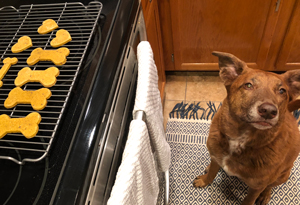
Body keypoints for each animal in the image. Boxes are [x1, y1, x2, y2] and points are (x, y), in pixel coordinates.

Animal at [192, 50, 300, 204]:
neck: (240, 138)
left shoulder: (256, 187)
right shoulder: (216, 155)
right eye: (248, 85)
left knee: (270, 186)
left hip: (282, 176)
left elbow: (249, 199)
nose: (269, 111)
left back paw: (265, 196)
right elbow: (213, 171)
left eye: (282, 91)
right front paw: (204, 180)